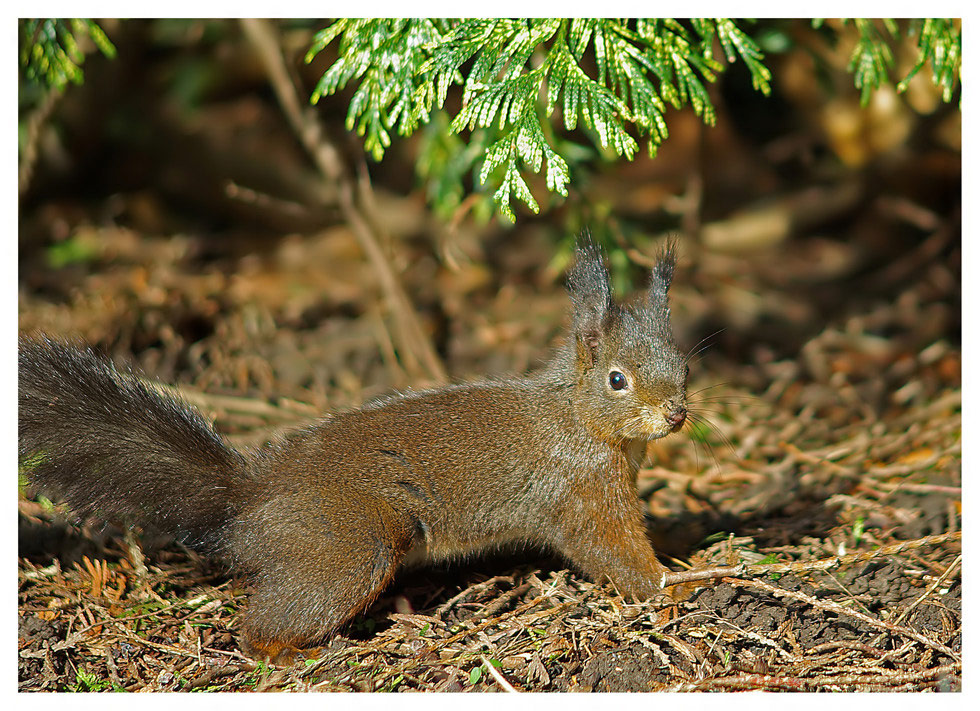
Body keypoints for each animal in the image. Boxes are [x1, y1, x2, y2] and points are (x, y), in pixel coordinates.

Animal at [15, 242, 688, 660]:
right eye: (618, 379)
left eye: (684, 367)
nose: (677, 414)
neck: (581, 420)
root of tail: (249, 496)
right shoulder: (582, 491)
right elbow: (615, 552)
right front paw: (674, 586)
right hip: (350, 541)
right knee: (263, 627)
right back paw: (293, 655)